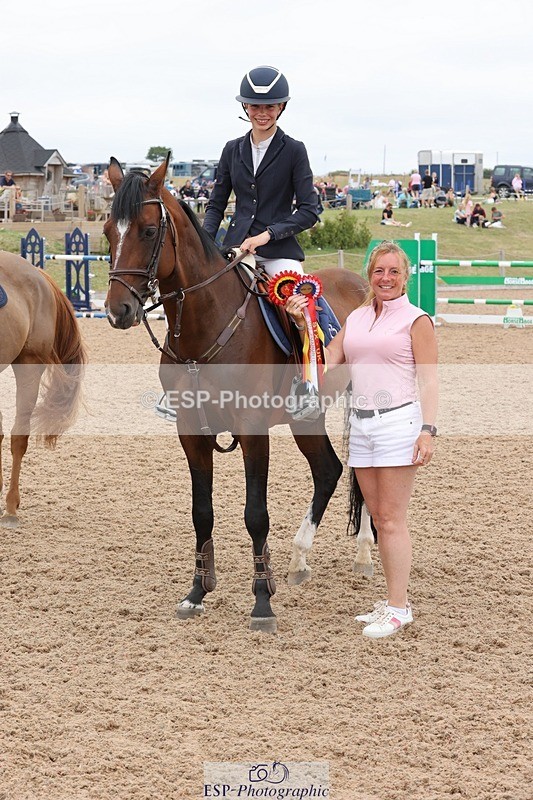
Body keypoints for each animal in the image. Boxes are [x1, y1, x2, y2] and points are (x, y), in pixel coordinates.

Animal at [104, 155, 373, 632]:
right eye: (106, 231)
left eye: (149, 231)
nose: (120, 310)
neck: (205, 322)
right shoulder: (191, 432)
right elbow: (202, 512)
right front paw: (197, 591)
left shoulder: (252, 429)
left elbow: (255, 515)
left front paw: (262, 602)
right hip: (307, 416)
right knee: (328, 470)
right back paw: (299, 561)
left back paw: (362, 554)